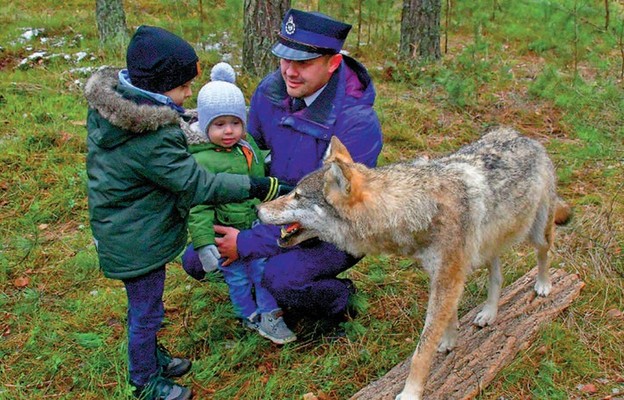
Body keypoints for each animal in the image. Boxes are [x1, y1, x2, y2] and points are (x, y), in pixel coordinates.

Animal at [255, 127, 572, 400]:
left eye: (297, 196)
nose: (258, 208)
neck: (416, 208)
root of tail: (524, 136)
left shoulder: (447, 277)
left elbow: (422, 349)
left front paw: (410, 392)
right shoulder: (441, 275)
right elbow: (449, 318)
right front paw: (450, 341)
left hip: (537, 232)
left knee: (545, 255)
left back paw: (543, 285)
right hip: (485, 248)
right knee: (497, 275)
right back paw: (489, 313)